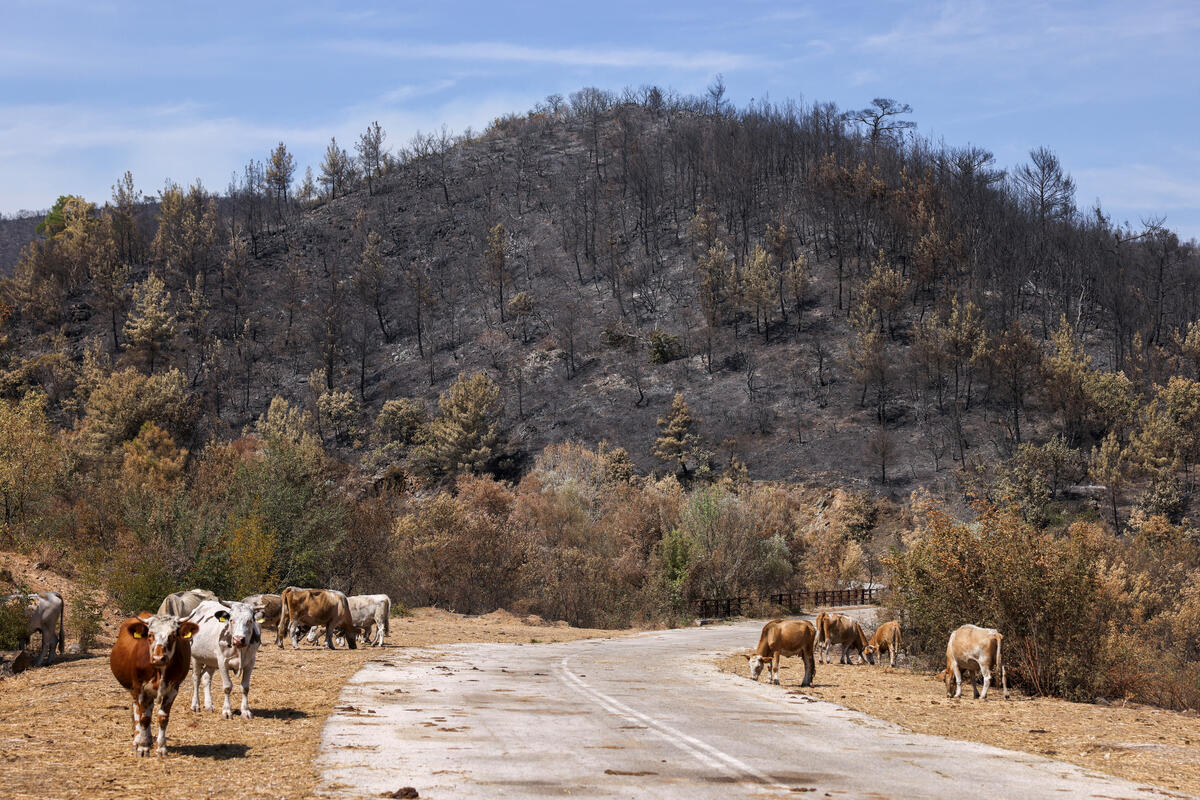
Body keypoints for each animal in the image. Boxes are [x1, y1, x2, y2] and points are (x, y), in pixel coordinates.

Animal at [109, 614, 198, 758]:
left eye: (173, 635)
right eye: (150, 635)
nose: (158, 658)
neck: (159, 671)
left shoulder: (173, 689)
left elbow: (162, 717)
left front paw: (161, 748)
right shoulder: (140, 688)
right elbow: (143, 718)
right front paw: (142, 748)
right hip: (134, 690)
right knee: (137, 711)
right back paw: (137, 741)